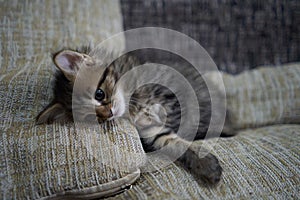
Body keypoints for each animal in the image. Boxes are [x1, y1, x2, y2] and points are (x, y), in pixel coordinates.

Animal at [37, 47, 234, 184]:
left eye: (99, 94)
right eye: (94, 118)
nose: (109, 113)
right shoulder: (150, 129)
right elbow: (172, 141)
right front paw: (205, 165)